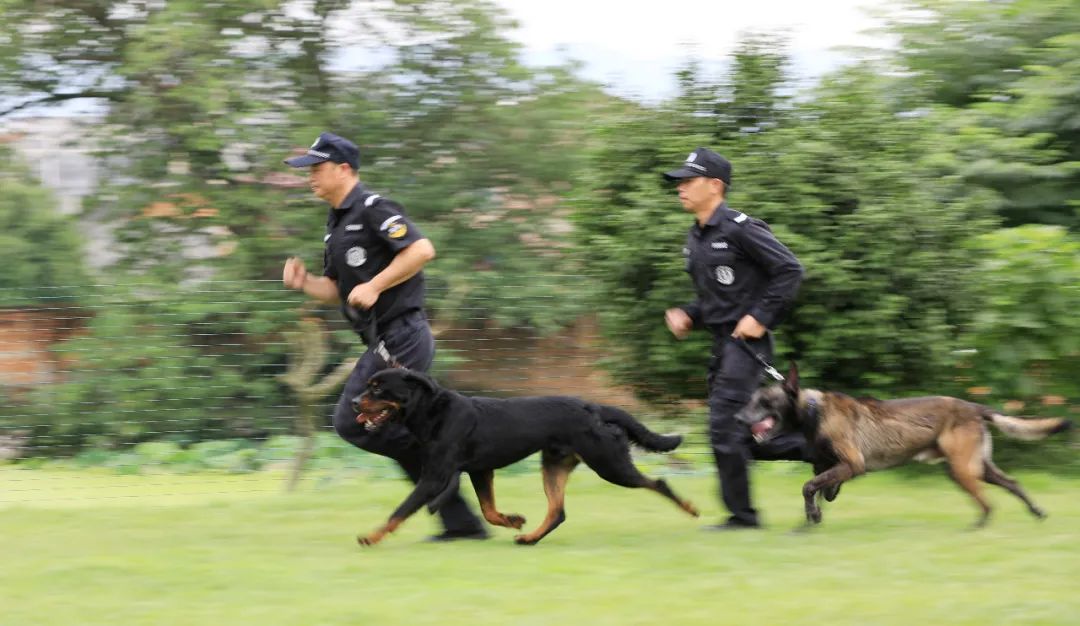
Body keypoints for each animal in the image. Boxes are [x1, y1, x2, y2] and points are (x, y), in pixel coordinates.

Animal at [352, 369, 699, 546]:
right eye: (369, 386)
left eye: (378, 388)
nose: (354, 401)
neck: (432, 411)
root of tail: (595, 407)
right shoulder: (480, 471)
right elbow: (489, 510)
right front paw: (513, 519)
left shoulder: (435, 476)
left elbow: (401, 509)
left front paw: (370, 536)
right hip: (555, 465)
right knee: (558, 511)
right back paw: (530, 537)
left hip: (609, 464)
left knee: (658, 482)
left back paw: (691, 508)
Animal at [734, 362, 1071, 528]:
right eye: (751, 400)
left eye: (765, 402)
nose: (737, 418)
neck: (813, 411)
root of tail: (974, 407)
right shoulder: (828, 467)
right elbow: (819, 490)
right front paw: (813, 518)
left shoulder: (851, 464)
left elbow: (808, 487)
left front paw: (811, 517)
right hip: (977, 467)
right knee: (1012, 483)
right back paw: (1035, 512)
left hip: (961, 469)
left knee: (988, 502)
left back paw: (979, 525)